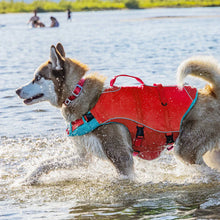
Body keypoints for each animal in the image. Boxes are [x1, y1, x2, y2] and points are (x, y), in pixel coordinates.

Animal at [16, 43, 220, 184]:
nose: (17, 90)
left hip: (186, 151)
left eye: (37, 78)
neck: (78, 94)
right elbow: (45, 163)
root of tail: (212, 92)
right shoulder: (83, 157)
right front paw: (27, 179)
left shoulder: (121, 158)